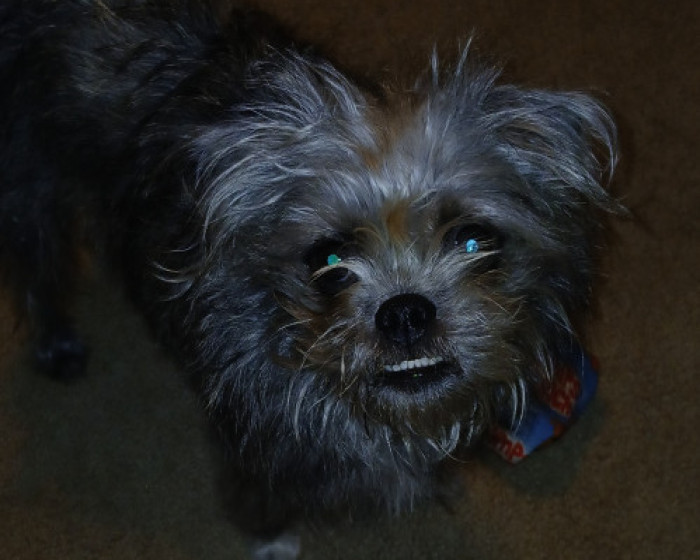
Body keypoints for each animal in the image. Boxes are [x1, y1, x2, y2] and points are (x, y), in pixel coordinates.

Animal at [0, 1, 618, 557]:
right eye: (328, 259)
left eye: (472, 239)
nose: (405, 312)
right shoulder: (250, 444)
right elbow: (262, 502)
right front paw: (273, 544)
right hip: (31, 186)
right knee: (38, 270)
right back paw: (57, 344)